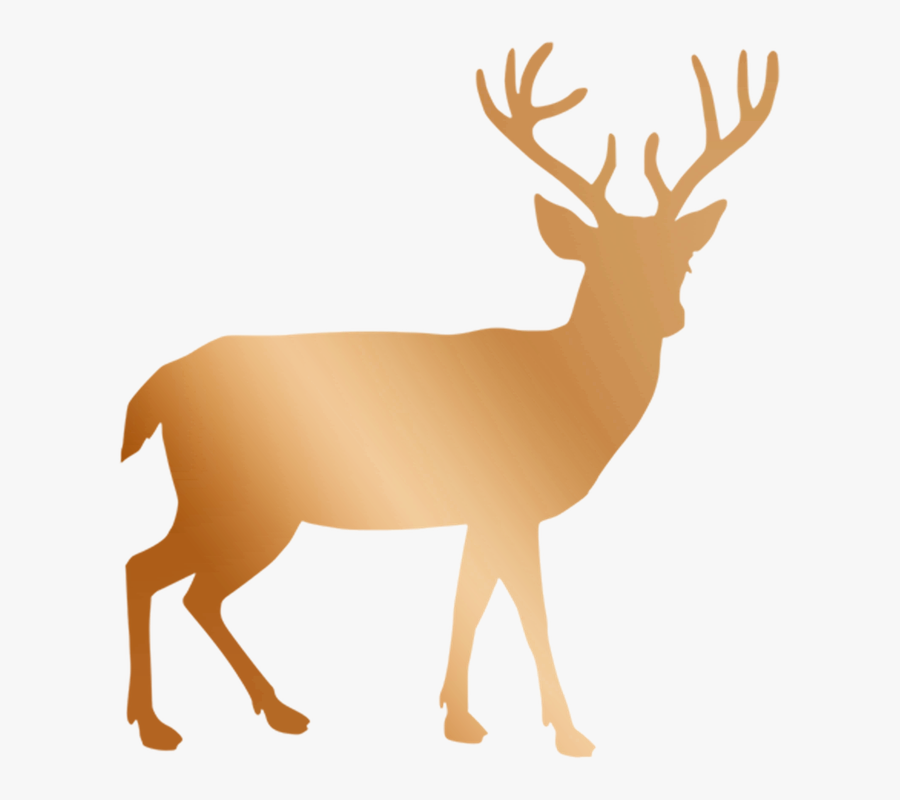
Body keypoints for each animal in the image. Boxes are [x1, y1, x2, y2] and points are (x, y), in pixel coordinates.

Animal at [121, 43, 778, 757]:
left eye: (682, 262)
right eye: (598, 264)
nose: (668, 317)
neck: (563, 392)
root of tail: (157, 386)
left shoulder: (483, 512)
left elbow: (469, 601)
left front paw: (459, 718)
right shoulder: (513, 504)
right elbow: (529, 611)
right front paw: (569, 731)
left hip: (245, 509)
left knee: (191, 592)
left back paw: (274, 710)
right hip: (236, 500)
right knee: (149, 571)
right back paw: (157, 724)